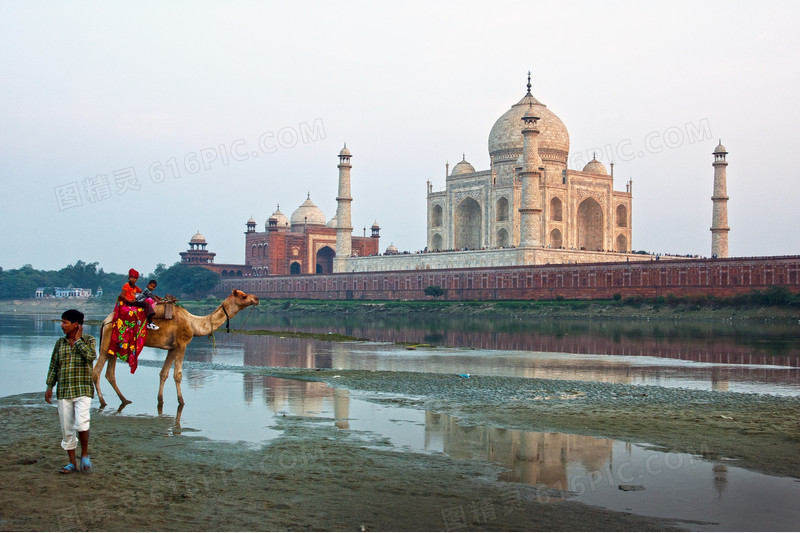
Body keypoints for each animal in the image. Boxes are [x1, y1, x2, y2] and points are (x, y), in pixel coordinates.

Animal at [93, 288, 260, 406]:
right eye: (243, 296)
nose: (257, 298)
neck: (193, 323)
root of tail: (105, 321)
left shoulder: (172, 348)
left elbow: (163, 373)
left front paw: (160, 400)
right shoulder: (182, 344)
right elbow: (177, 374)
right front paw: (181, 401)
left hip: (114, 346)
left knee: (110, 374)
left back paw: (124, 399)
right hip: (106, 343)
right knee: (96, 372)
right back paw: (103, 401)